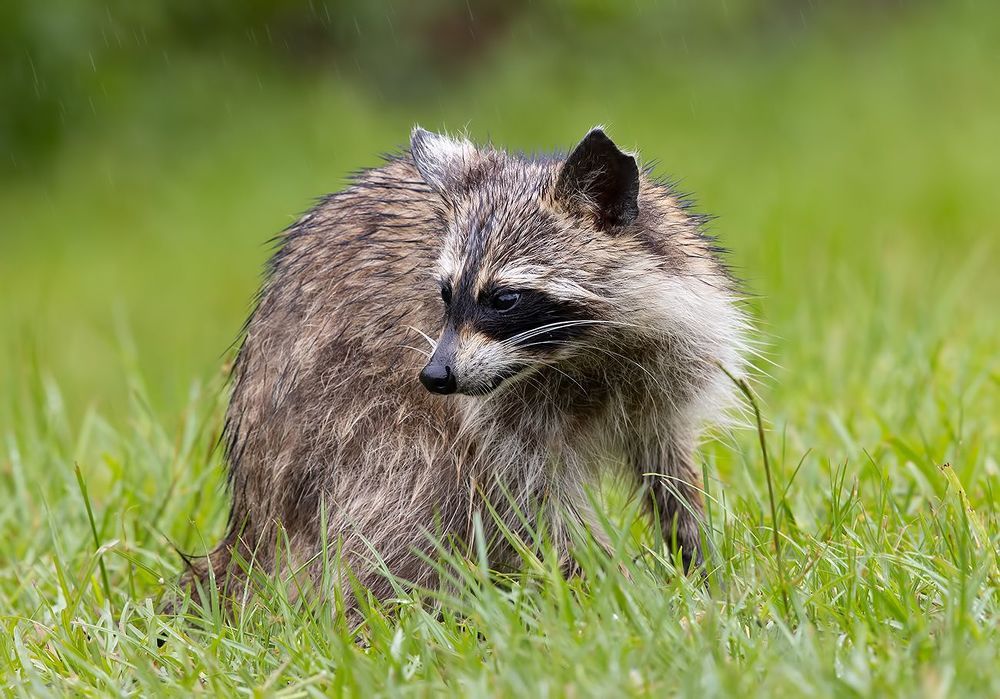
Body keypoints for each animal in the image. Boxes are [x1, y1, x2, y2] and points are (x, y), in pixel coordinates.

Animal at [183, 126, 749, 610]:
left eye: (504, 299)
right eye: (445, 292)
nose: (435, 378)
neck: (577, 353)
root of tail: (250, 521)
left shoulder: (664, 371)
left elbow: (668, 468)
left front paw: (696, 564)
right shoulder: (500, 414)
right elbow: (531, 500)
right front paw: (617, 588)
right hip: (338, 424)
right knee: (415, 485)